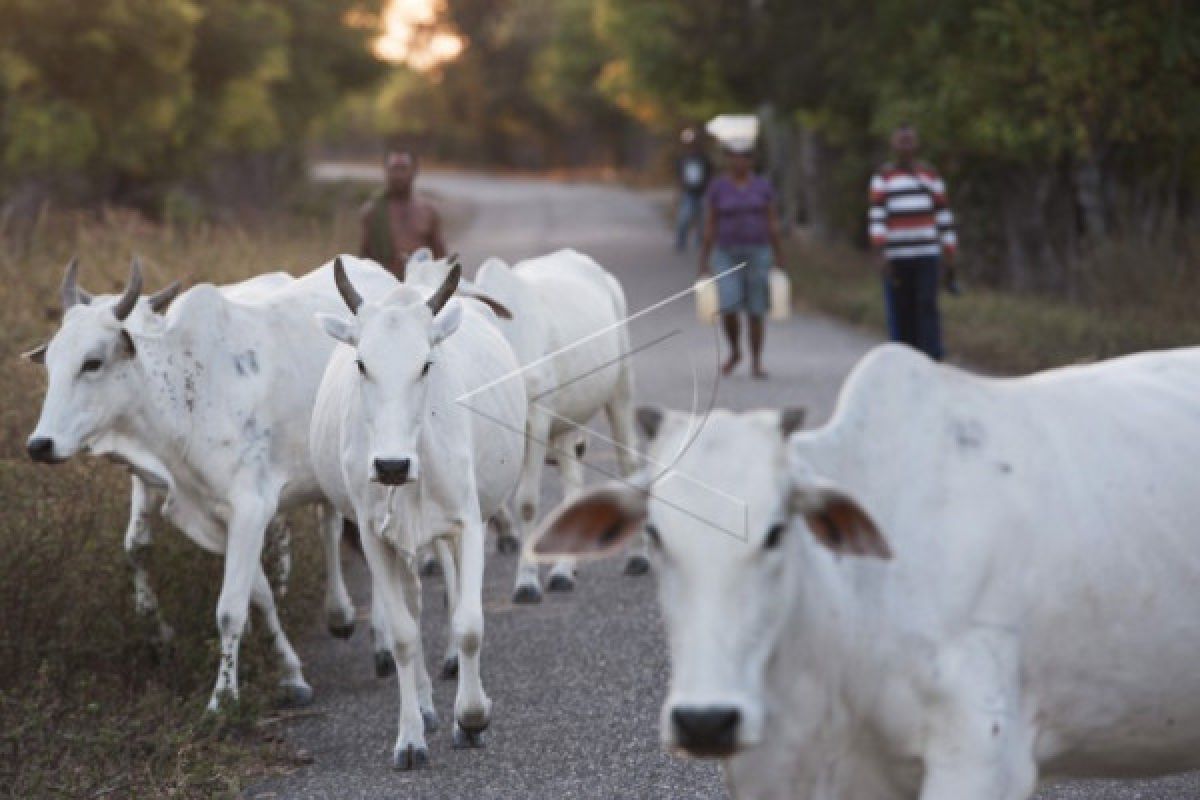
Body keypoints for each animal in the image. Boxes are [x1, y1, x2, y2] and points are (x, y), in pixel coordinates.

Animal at [312, 260, 528, 767]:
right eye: (361, 363)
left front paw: (472, 717)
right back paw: (428, 707)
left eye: (426, 363)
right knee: (412, 604)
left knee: (452, 593)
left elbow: (469, 623)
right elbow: (404, 635)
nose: (391, 466)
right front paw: (410, 737)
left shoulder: (467, 523)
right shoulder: (373, 537)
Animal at [463, 250, 643, 599]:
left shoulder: (536, 419)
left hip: (621, 388)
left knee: (627, 462)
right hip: (567, 423)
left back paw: (637, 558)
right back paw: (563, 570)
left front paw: (526, 582)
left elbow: (527, 503)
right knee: (573, 485)